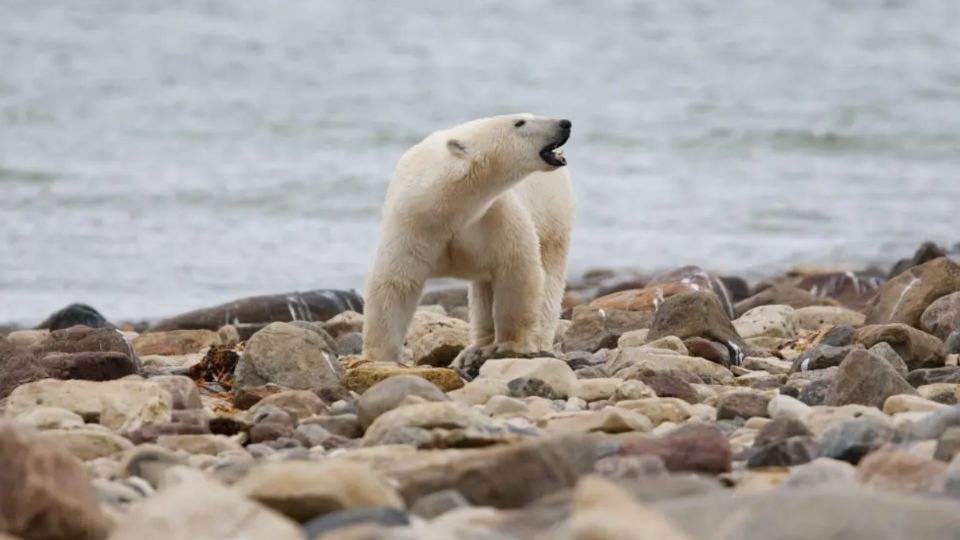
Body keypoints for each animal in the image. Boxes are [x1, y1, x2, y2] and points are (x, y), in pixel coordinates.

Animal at [358, 114, 568, 368]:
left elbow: (517, 270)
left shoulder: (495, 215)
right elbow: (396, 281)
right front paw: (378, 357)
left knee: (550, 278)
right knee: (483, 290)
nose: (564, 123)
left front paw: (512, 345)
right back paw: (476, 349)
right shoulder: (413, 222)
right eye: (520, 122)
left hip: (553, 217)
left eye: (530, 117)